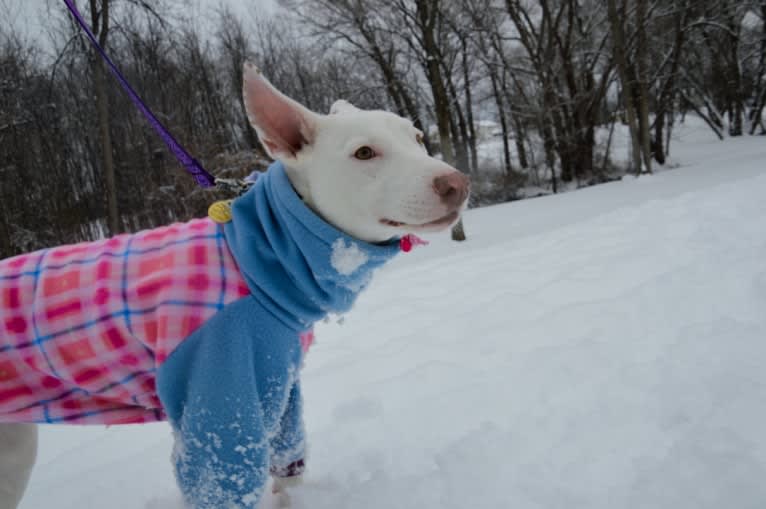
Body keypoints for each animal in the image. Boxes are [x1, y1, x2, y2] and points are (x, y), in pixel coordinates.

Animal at [0, 64, 468, 508]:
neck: (255, 258)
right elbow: (221, 477)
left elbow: (289, 469)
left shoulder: (281, 390)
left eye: (418, 138)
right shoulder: (218, 403)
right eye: (364, 152)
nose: (457, 183)